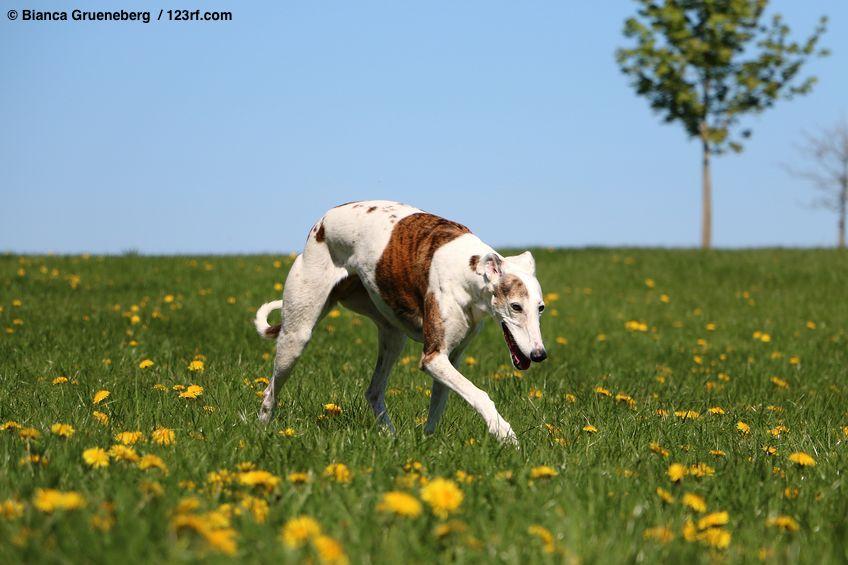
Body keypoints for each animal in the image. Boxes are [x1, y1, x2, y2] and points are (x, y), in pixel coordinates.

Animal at [255, 200, 548, 442]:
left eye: (541, 308)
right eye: (516, 306)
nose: (539, 355)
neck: (469, 269)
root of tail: (323, 220)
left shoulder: (451, 358)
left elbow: (438, 405)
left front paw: (428, 444)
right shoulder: (433, 357)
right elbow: (480, 395)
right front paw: (505, 434)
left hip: (393, 335)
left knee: (373, 391)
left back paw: (391, 437)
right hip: (297, 334)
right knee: (271, 390)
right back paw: (263, 429)